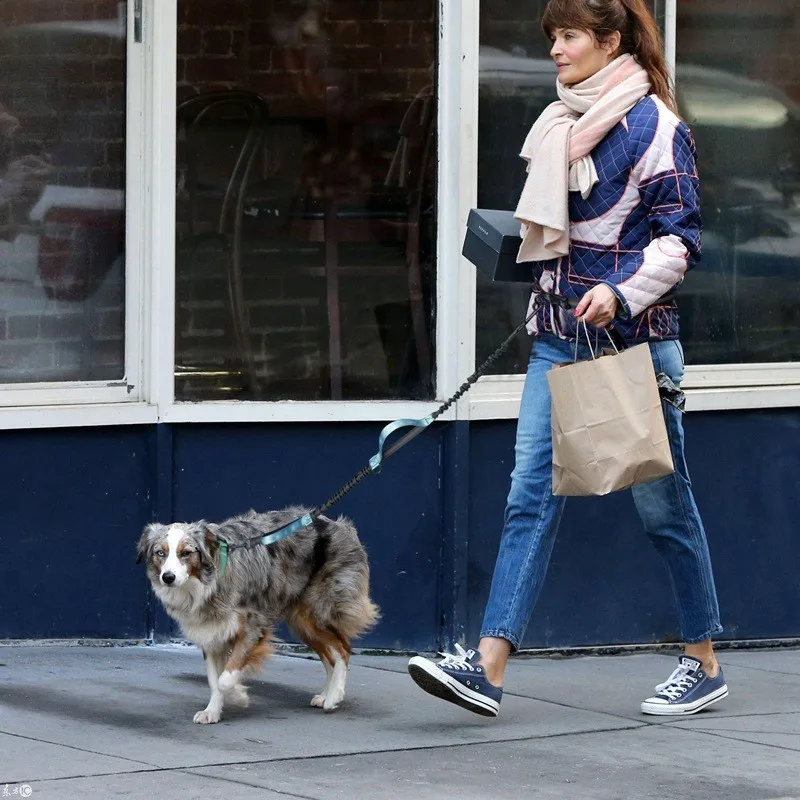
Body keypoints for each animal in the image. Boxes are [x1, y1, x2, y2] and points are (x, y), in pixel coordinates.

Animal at [136, 506, 380, 724]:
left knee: (343, 649)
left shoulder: (253, 627)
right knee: (330, 656)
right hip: (302, 622)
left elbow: (225, 678)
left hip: (317, 612)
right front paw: (212, 712)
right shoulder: (211, 634)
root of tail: (341, 525)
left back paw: (334, 696)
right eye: (160, 553)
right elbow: (214, 680)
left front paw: (239, 696)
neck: (205, 585)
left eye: (186, 553)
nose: (168, 577)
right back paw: (326, 695)